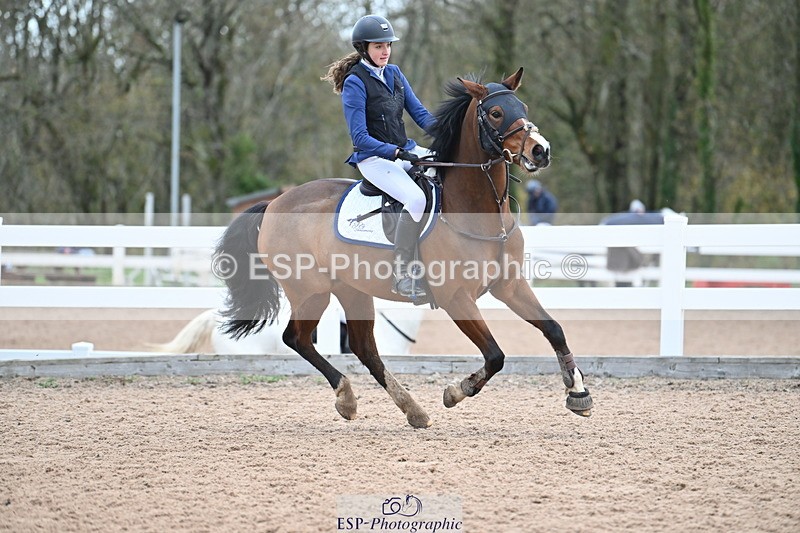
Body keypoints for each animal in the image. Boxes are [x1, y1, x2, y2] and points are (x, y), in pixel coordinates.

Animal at [215, 67, 593, 427]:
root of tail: (274, 204)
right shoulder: (456, 298)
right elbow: (495, 355)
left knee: (364, 348)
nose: (540, 151)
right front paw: (456, 391)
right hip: (311, 292)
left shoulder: (509, 286)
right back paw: (348, 398)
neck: (478, 211)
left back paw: (412, 411)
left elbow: (554, 330)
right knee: (296, 339)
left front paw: (578, 393)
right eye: (497, 113)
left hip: (352, 290)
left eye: (523, 108)